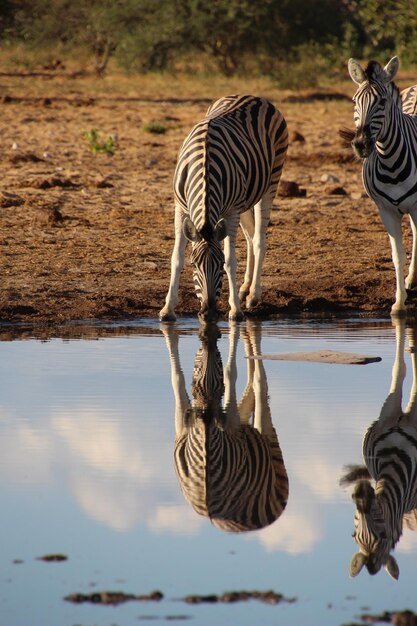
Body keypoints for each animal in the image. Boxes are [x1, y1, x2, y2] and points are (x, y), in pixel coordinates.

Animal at [158, 95, 288, 324]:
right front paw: (167, 309)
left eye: (218, 267)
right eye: (194, 265)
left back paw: (253, 295)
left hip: (271, 181)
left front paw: (235, 310)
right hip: (245, 198)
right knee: (250, 236)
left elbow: (231, 259)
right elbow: (176, 258)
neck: (205, 167)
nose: (208, 313)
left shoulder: (231, 212)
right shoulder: (180, 208)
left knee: (259, 240)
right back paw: (245, 288)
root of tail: (253, 96)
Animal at [161, 320, 288, 528]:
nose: (206, 339)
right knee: (251, 383)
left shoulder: (226, 424)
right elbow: (177, 378)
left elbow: (230, 373)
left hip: (267, 441)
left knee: (260, 384)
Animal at [340, 320, 417, 576]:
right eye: (354, 535)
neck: (394, 456)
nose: (361, 494)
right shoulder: (386, 414)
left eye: (383, 535)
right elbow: (398, 370)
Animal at [346, 56, 417, 314]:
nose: (360, 144)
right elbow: (397, 255)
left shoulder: (416, 206)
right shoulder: (385, 210)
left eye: (382, 101)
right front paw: (399, 301)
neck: (391, 163)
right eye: (355, 101)